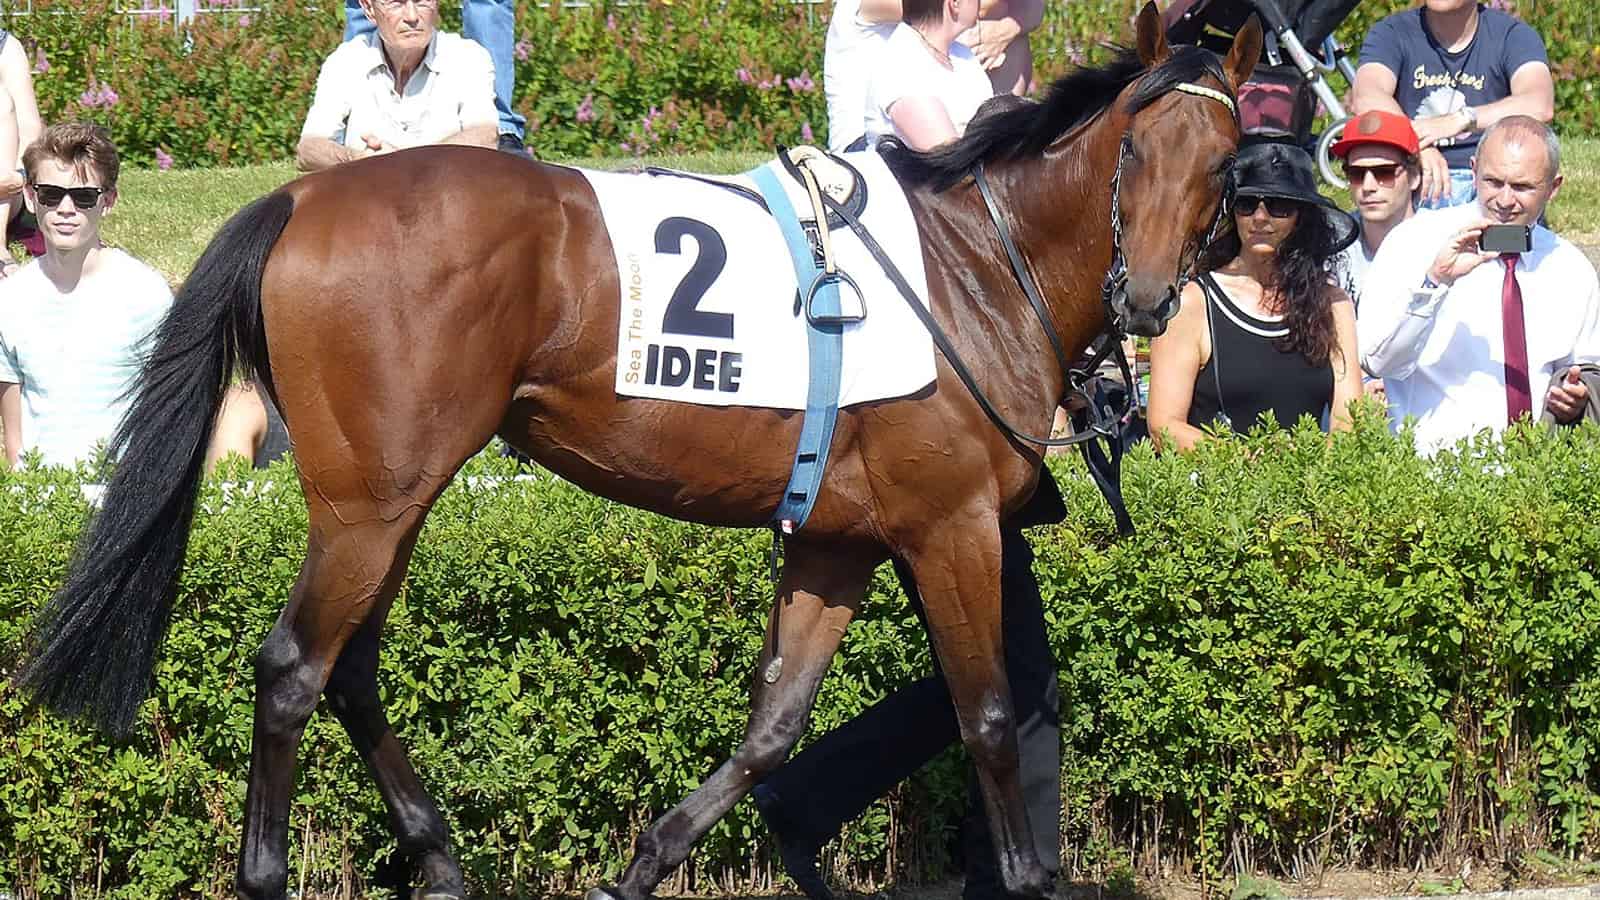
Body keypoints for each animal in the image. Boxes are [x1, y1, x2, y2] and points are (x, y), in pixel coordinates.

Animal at [15, 6, 1259, 899]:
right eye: (1136, 148)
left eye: (1225, 162)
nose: (1148, 302)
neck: (972, 264)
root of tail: (300, 199)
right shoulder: (949, 528)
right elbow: (992, 716)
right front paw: (1026, 872)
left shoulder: (840, 540)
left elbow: (773, 726)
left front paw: (647, 864)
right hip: (372, 501)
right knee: (290, 672)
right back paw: (275, 874)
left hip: (392, 494)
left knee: (349, 669)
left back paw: (442, 861)